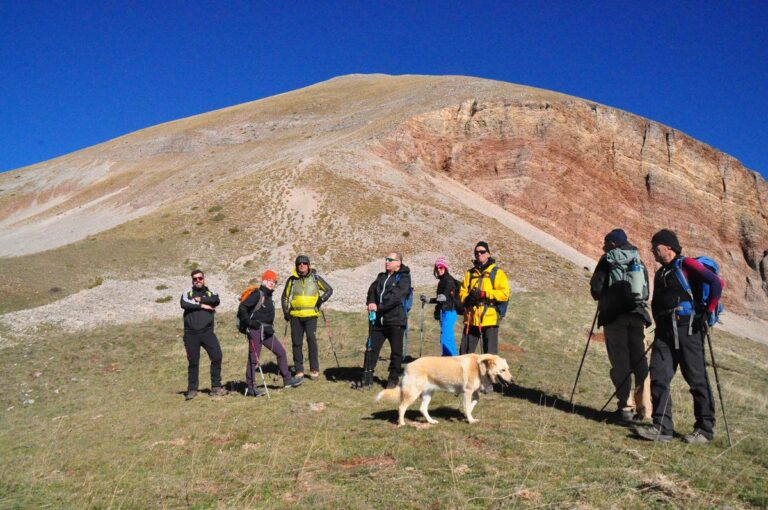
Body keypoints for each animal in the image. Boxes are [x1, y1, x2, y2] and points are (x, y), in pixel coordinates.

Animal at [376, 352, 512, 424]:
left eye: (508, 369)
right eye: (503, 370)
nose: (512, 381)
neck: (480, 367)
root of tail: (407, 366)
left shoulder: (472, 392)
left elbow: (473, 402)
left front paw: (467, 414)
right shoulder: (467, 392)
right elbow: (469, 406)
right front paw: (470, 419)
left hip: (428, 394)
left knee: (422, 409)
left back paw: (431, 421)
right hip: (413, 393)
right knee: (401, 407)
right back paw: (402, 423)